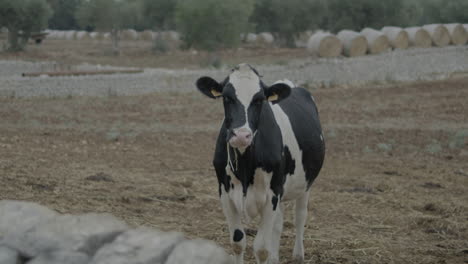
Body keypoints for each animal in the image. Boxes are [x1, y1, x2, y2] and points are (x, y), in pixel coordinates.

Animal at [196, 64, 324, 264]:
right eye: (226, 97)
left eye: (259, 100)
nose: (241, 135)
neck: (245, 166)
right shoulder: (224, 192)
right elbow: (238, 242)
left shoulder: (272, 194)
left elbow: (262, 248)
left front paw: (268, 254)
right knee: (278, 224)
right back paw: (275, 257)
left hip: (305, 183)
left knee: (300, 216)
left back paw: (298, 254)